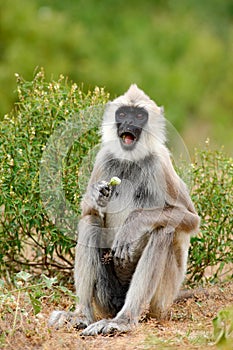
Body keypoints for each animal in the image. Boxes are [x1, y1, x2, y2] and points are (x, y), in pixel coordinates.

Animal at [49, 85, 200, 336]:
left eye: (138, 116)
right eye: (123, 114)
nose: (128, 123)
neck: (131, 159)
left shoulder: (160, 163)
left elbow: (190, 218)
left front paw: (133, 224)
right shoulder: (104, 157)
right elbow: (87, 211)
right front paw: (96, 195)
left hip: (162, 300)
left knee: (163, 231)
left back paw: (124, 320)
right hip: (106, 298)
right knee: (90, 222)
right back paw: (82, 315)